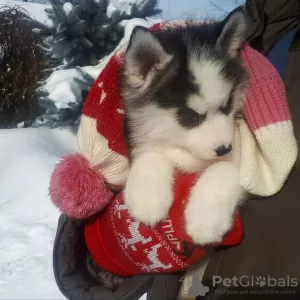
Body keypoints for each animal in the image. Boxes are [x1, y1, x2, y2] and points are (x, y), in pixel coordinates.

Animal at [119, 7, 248, 246]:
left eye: (227, 105)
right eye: (189, 116)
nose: (225, 149)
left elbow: (224, 168)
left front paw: (205, 219)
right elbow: (152, 153)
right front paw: (147, 197)